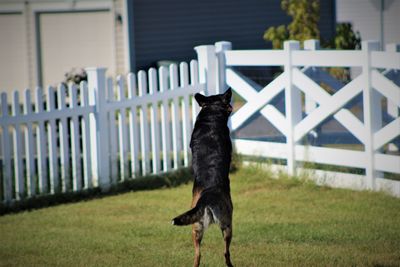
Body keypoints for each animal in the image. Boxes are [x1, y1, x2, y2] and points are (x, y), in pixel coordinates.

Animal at [172, 89, 234, 266]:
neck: (211, 112)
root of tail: (207, 198)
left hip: (196, 227)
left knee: (198, 255)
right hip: (227, 225)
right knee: (226, 252)